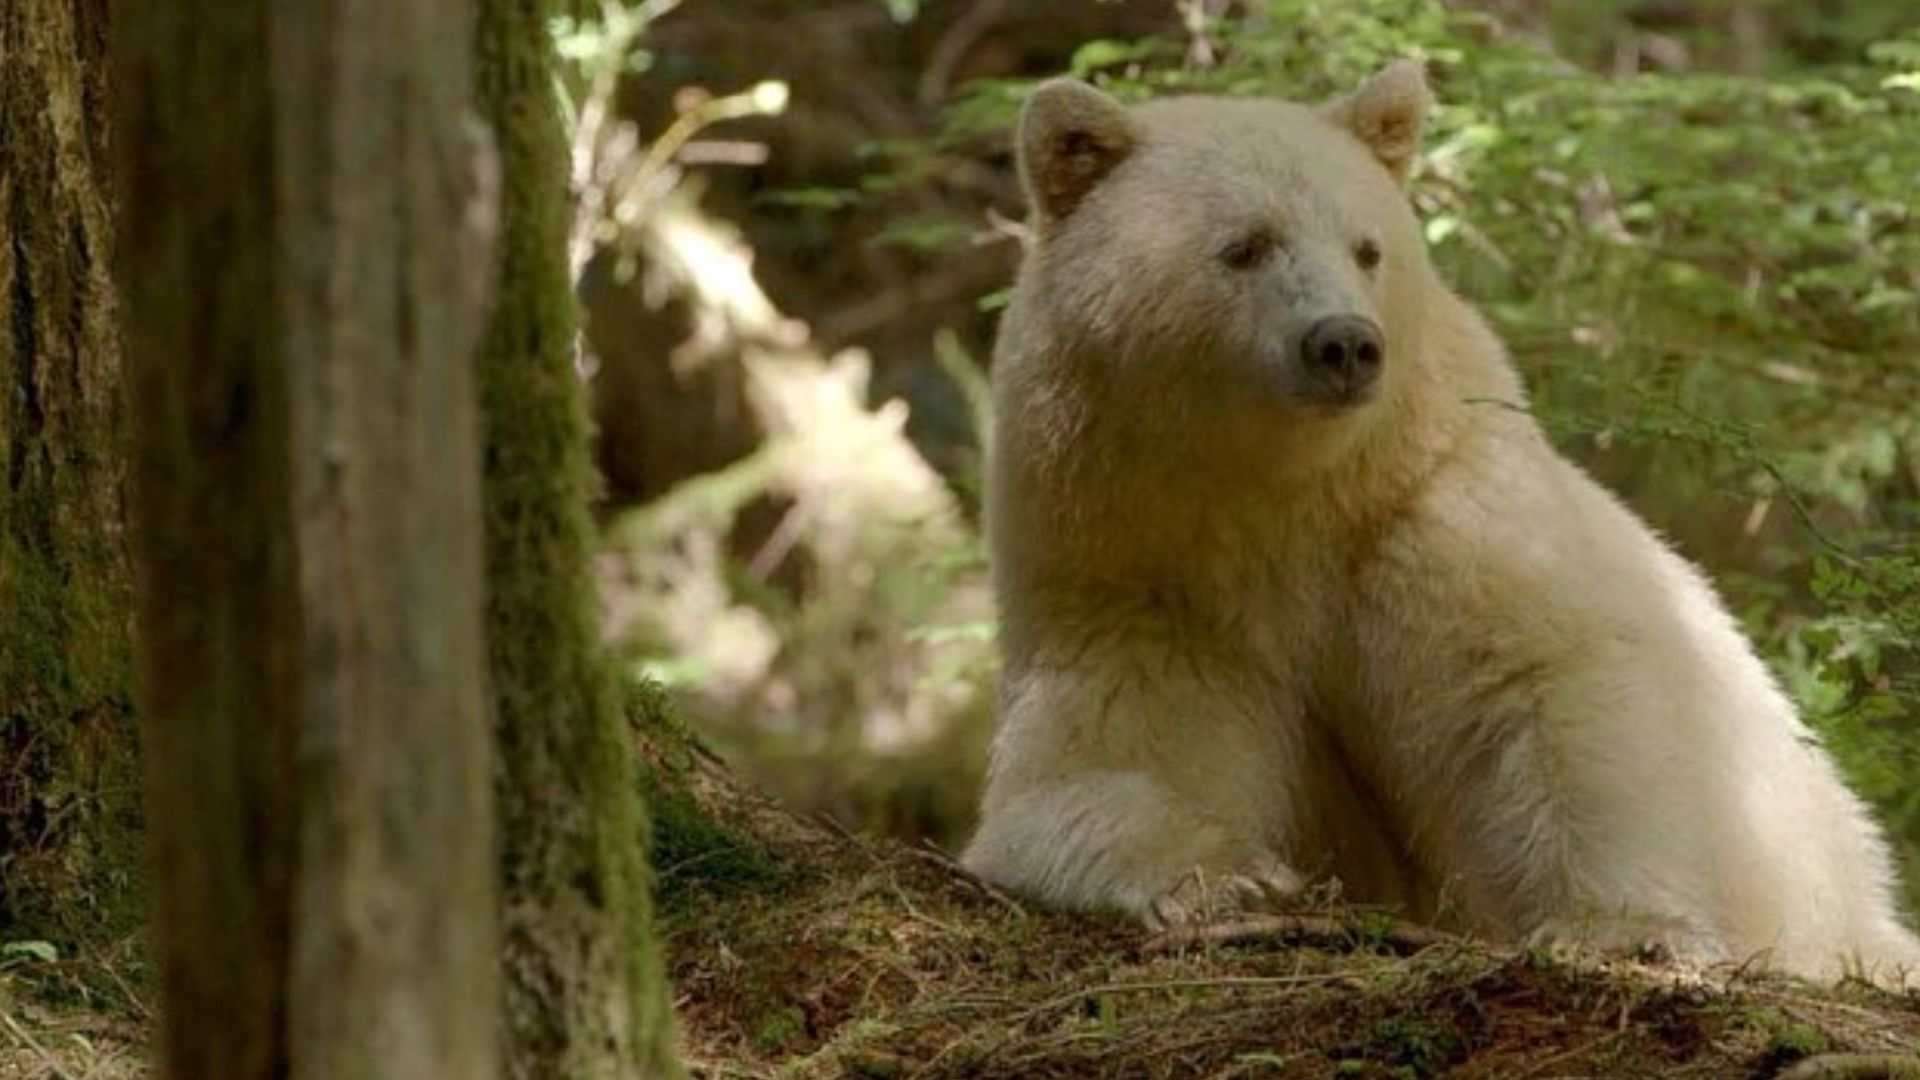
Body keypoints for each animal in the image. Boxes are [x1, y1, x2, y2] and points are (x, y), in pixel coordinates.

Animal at [961, 59, 1920, 983]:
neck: (1285, 500)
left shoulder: (1435, 514)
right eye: (1245, 246)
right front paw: (1227, 874)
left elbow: (1557, 686)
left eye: (1368, 248)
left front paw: (1624, 929)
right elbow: (1107, 760)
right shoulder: (1144, 580)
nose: (1344, 343)